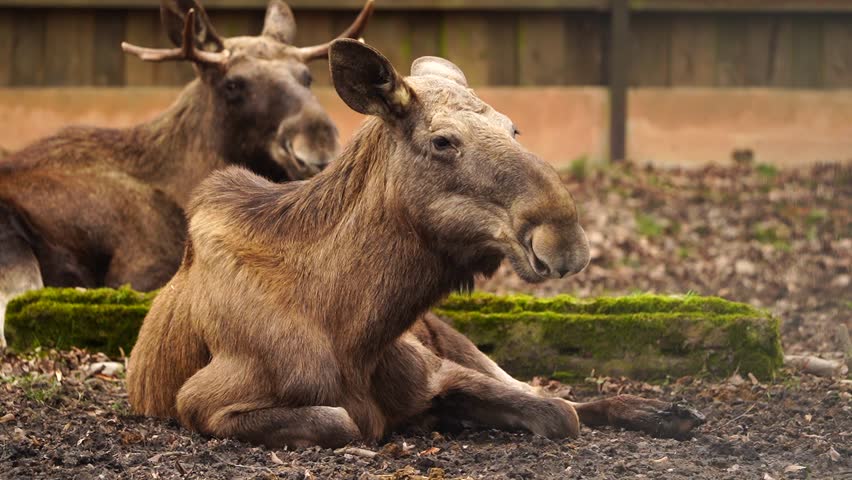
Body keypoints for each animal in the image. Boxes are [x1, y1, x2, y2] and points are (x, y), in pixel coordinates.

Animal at [127, 39, 706, 448]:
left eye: (513, 128)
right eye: (443, 140)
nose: (564, 237)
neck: (355, 330)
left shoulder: (438, 370)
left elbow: (558, 411)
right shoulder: (202, 402)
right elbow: (342, 420)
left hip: (458, 342)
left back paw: (668, 412)